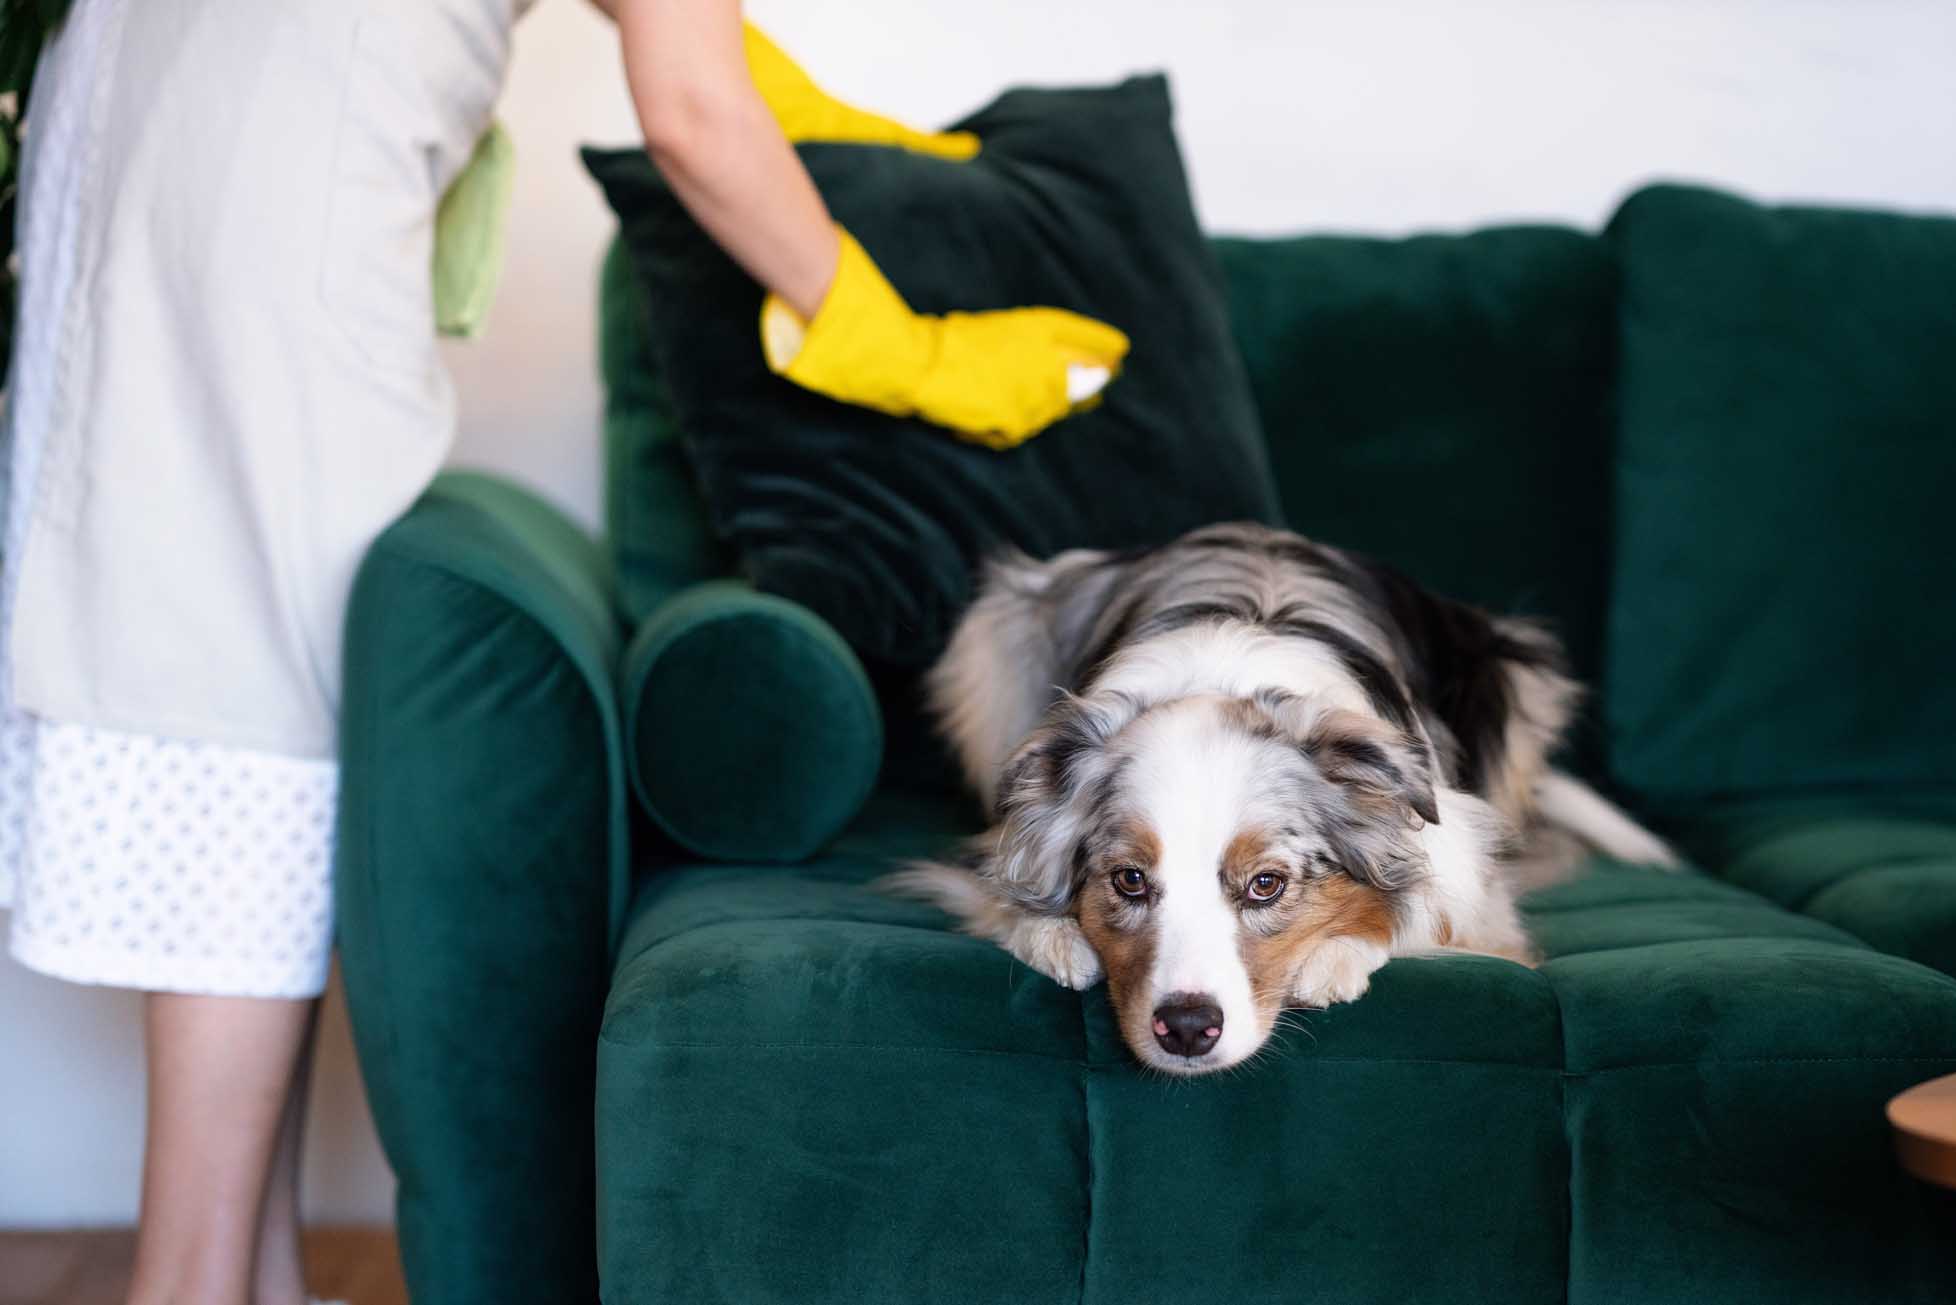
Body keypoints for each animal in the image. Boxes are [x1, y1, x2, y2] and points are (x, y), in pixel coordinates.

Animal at [895, 524, 1674, 1080]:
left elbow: (1419, 912)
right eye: (1129, 880)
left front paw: (1335, 958)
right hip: (995, 642)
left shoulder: (1476, 888)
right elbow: (1005, 895)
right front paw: (1053, 936)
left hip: (1515, 679)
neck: (1223, 680)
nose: (1187, 1028)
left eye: (1266, 884)